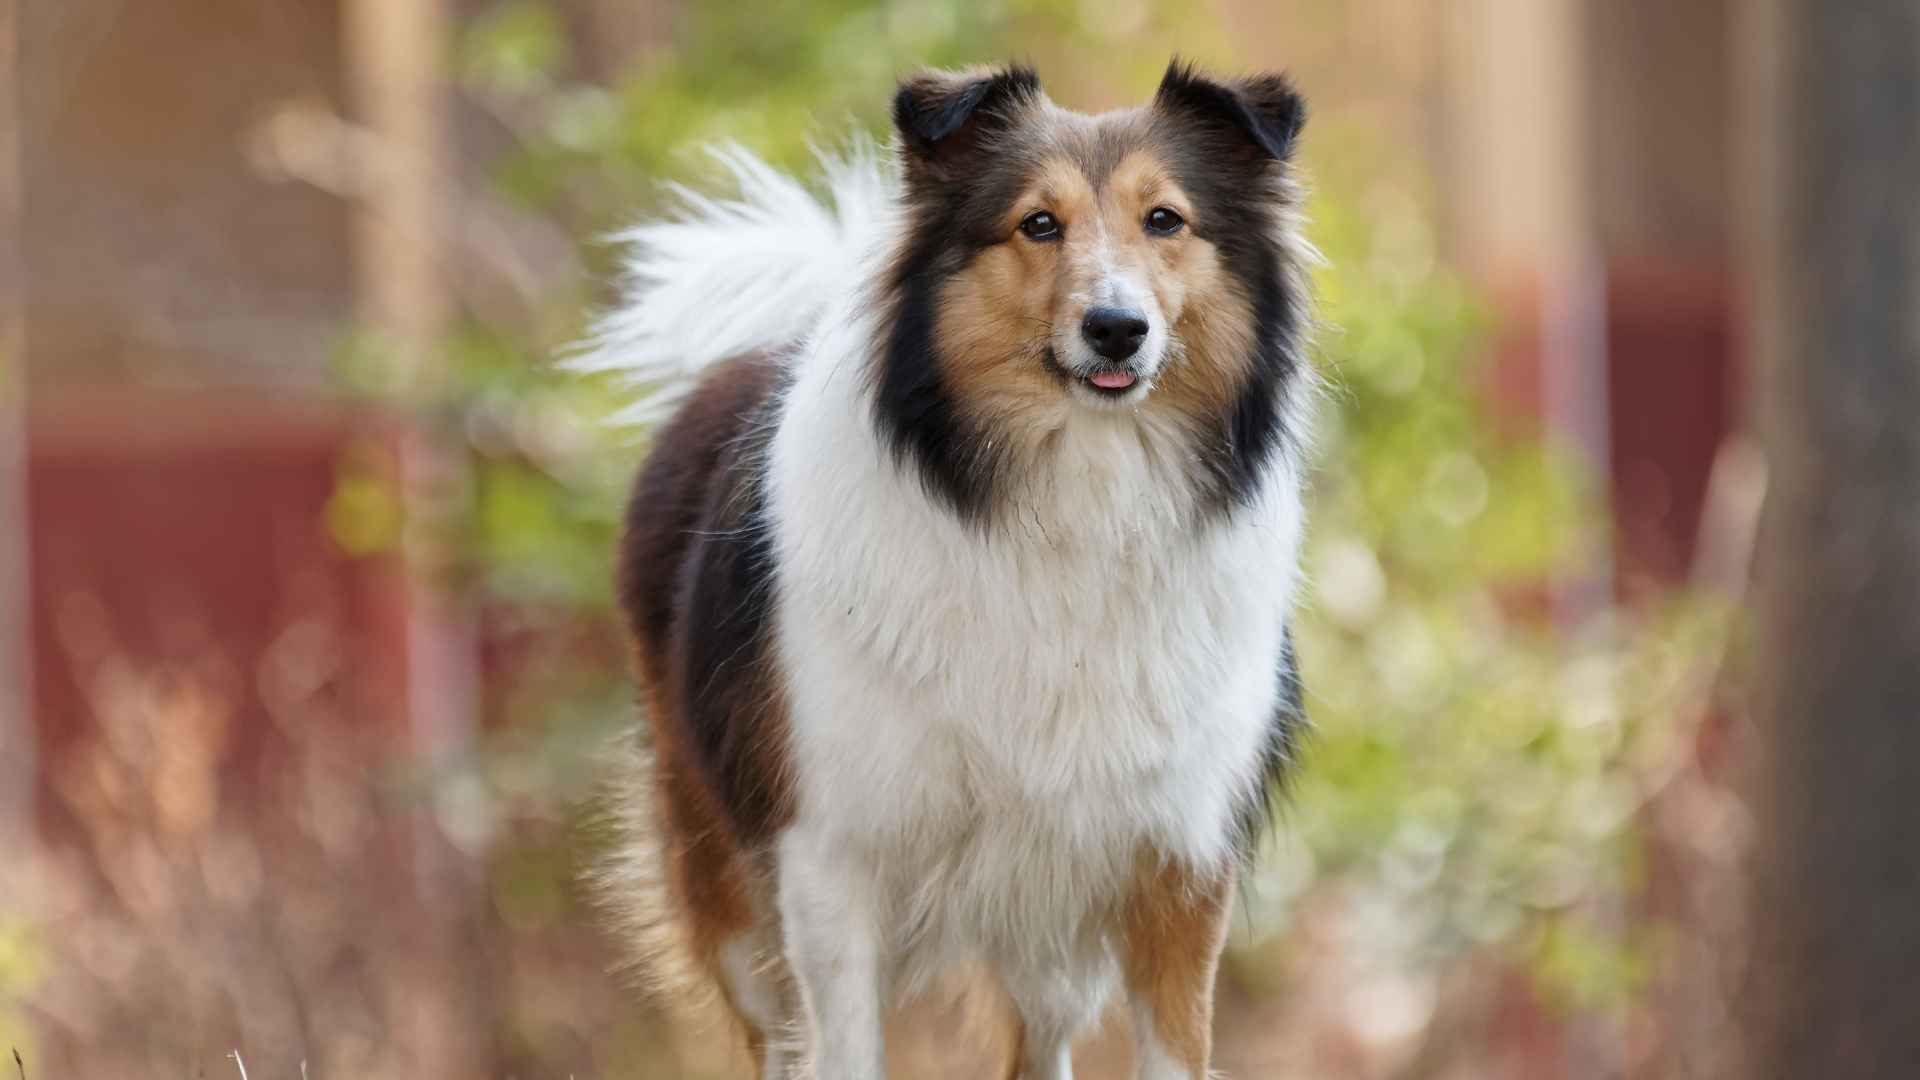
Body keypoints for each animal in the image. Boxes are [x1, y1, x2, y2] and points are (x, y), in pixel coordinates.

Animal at [576, 61, 1313, 1076]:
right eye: (1037, 223)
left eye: (1166, 219)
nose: (1116, 329)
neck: (1072, 501)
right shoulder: (829, 862)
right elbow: (848, 1048)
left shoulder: (1179, 866)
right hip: (730, 895)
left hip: (1047, 935)